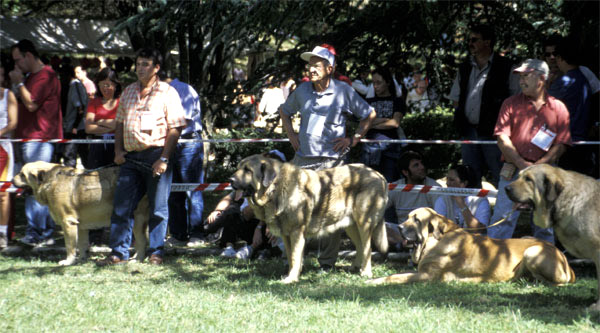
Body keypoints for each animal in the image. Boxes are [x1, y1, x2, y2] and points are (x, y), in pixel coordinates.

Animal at [11, 161, 149, 264]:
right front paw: (82, 260)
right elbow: (82, 245)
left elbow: (70, 246)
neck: (50, 181)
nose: (11, 180)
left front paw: (69, 261)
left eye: (22, 174)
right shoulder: (81, 226)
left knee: (142, 242)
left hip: (137, 220)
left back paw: (137, 259)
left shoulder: (68, 223)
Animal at [230, 154, 390, 282]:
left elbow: (295, 256)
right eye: (238, 168)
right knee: (360, 246)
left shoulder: (296, 232)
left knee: (368, 248)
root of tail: (378, 174)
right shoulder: (286, 235)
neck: (274, 189)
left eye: (248, 170)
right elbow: (291, 257)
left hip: (364, 223)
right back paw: (355, 268)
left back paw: (366, 272)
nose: (230, 179)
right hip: (351, 226)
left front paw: (291, 279)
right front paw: (292, 275)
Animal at [368, 208, 576, 286]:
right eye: (408, 217)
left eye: (417, 220)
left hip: (532, 252)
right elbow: (396, 274)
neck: (436, 241)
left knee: (558, 282)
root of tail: (564, 258)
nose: (399, 227)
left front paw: (373, 282)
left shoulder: (426, 276)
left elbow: (394, 276)